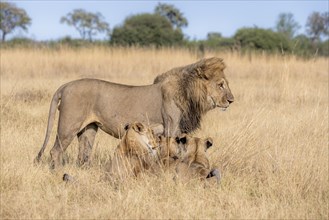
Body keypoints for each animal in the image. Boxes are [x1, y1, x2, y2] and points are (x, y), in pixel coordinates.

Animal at [34, 57, 232, 168]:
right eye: (221, 84)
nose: (231, 100)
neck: (189, 95)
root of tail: (65, 85)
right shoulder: (171, 129)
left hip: (89, 129)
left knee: (83, 154)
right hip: (68, 127)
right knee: (55, 151)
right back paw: (57, 172)